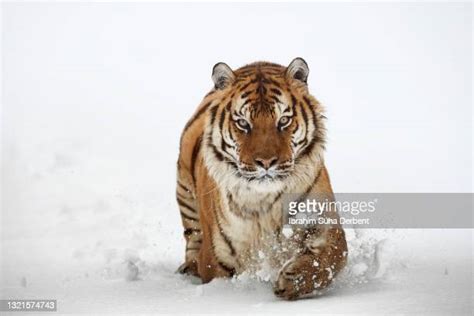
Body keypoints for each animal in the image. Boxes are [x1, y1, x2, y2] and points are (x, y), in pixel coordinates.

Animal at [176, 58, 346, 300]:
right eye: (243, 123)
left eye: (283, 121)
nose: (266, 162)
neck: (262, 202)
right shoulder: (216, 257)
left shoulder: (323, 221)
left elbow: (331, 257)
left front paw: (294, 281)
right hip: (185, 191)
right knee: (192, 235)